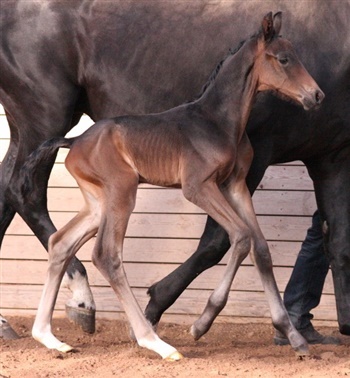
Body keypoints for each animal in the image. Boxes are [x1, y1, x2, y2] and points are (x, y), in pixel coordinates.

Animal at [0, 0, 348, 336]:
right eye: (284, 59)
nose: (316, 95)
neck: (215, 119)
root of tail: (75, 141)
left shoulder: (254, 178)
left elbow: (267, 244)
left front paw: (294, 332)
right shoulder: (204, 184)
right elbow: (230, 238)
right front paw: (190, 318)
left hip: (83, 184)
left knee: (30, 212)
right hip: (52, 125)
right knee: (34, 199)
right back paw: (96, 307)